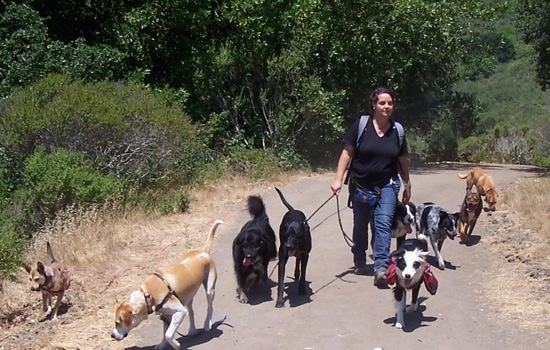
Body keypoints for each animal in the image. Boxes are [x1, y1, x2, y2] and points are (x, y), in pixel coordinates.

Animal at [111, 220, 223, 348]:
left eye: (117, 322)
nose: (112, 335)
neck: (147, 294)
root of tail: (203, 252)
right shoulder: (166, 315)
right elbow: (165, 332)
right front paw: (161, 345)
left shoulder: (179, 312)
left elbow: (168, 334)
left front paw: (175, 344)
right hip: (188, 297)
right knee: (191, 311)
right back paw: (192, 329)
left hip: (209, 289)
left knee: (210, 307)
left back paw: (207, 324)